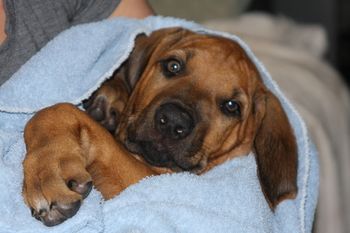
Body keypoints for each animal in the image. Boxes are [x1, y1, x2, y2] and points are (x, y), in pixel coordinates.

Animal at [21, 27, 296, 226]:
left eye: (231, 106)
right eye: (173, 65)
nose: (173, 121)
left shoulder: (145, 182)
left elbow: (58, 110)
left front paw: (49, 171)